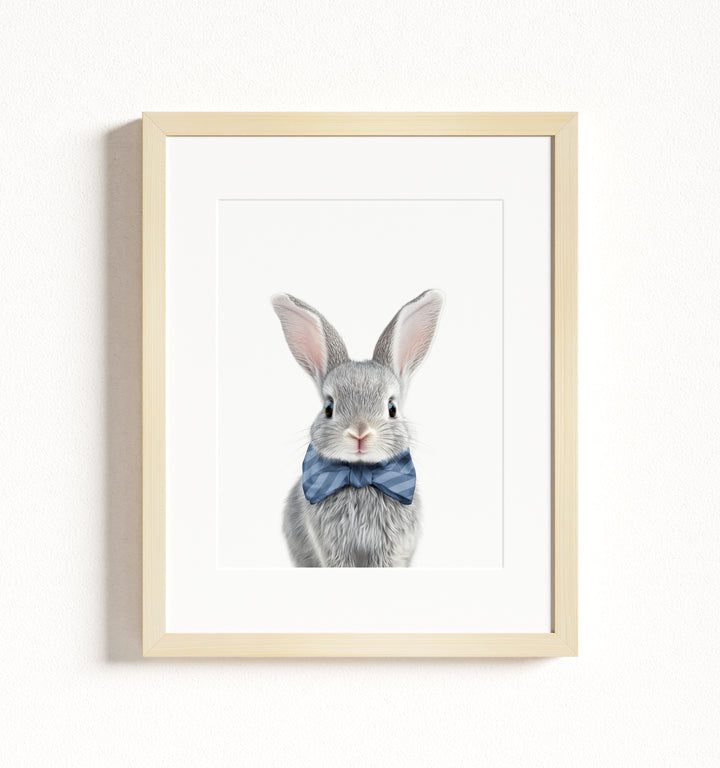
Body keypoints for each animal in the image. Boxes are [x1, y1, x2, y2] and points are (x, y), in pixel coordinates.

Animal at [271, 289, 444, 567]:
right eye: (329, 407)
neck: (361, 475)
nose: (360, 433)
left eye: (392, 408)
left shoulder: (390, 549)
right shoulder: (333, 548)